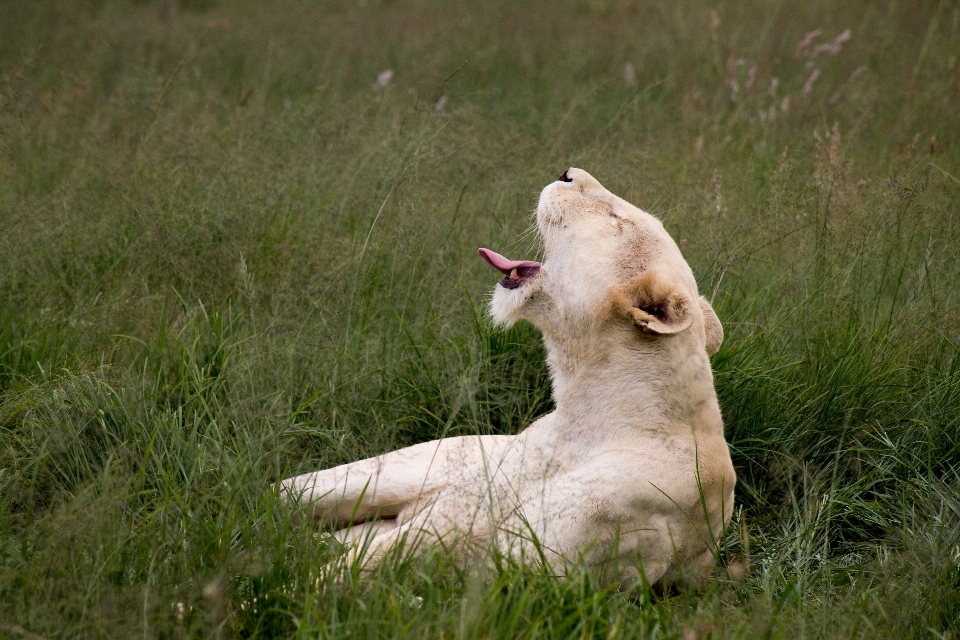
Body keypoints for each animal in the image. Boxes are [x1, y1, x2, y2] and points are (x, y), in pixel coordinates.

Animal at [284, 169, 736, 584]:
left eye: (615, 219)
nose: (567, 172)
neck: (585, 419)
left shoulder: (528, 566)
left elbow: (360, 573)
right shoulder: (469, 501)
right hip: (394, 470)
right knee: (286, 493)